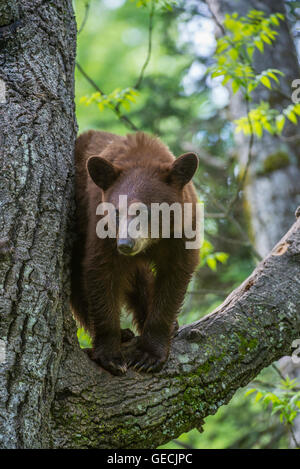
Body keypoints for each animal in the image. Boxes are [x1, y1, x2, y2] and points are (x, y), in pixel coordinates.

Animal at [71, 130, 200, 374]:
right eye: (116, 212)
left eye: (144, 210)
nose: (125, 244)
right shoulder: (101, 232)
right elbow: (100, 274)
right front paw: (110, 355)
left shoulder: (182, 232)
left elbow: (174, 277)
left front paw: (150, 354)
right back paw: (123, 334)